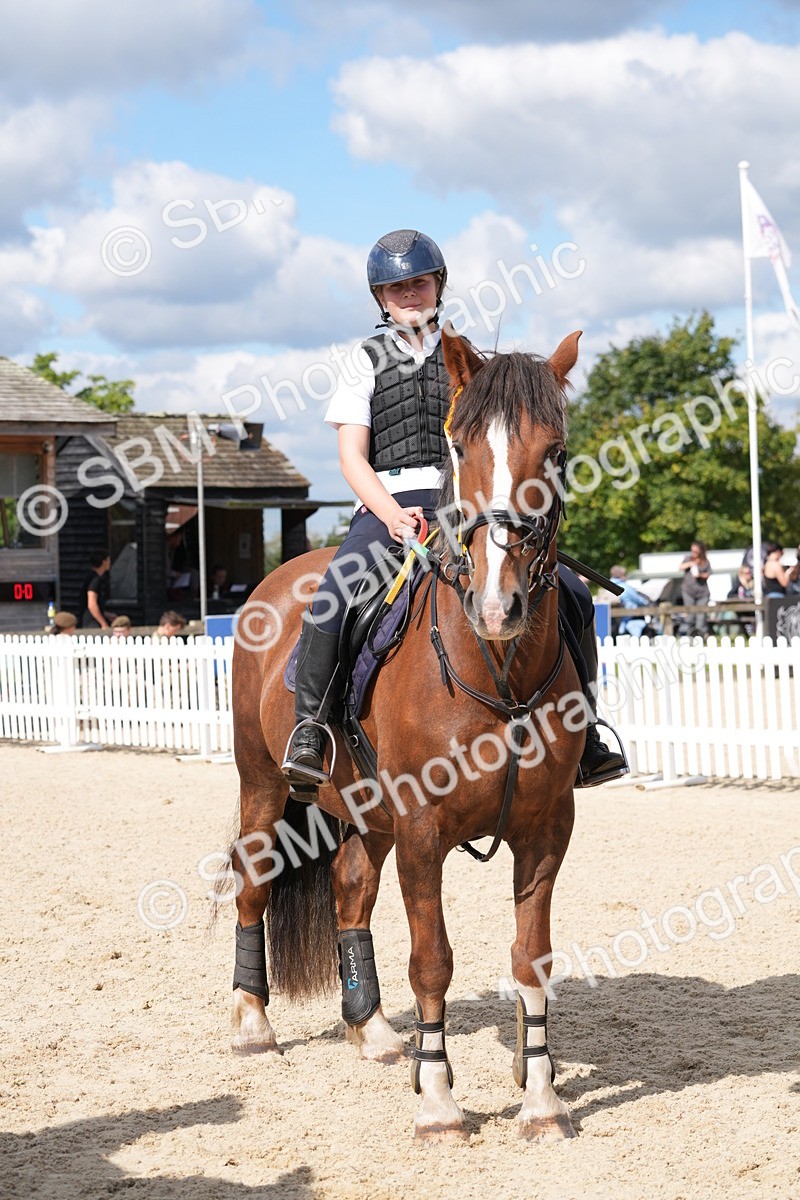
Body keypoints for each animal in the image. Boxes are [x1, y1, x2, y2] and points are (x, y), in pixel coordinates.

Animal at [228, 327, 585, 1141]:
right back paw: (253, 1021)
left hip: (367, 811)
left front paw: (540, 1098)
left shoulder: (547, 828)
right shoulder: (424, 832)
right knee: (253, 879)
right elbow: (433, 961)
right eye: (461, 446)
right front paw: (440, 1101)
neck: (497, 669)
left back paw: (373, 1029)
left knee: (350, 887)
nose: (499, 604)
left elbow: (532, 959)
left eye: (554, 450)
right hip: (264, 785)